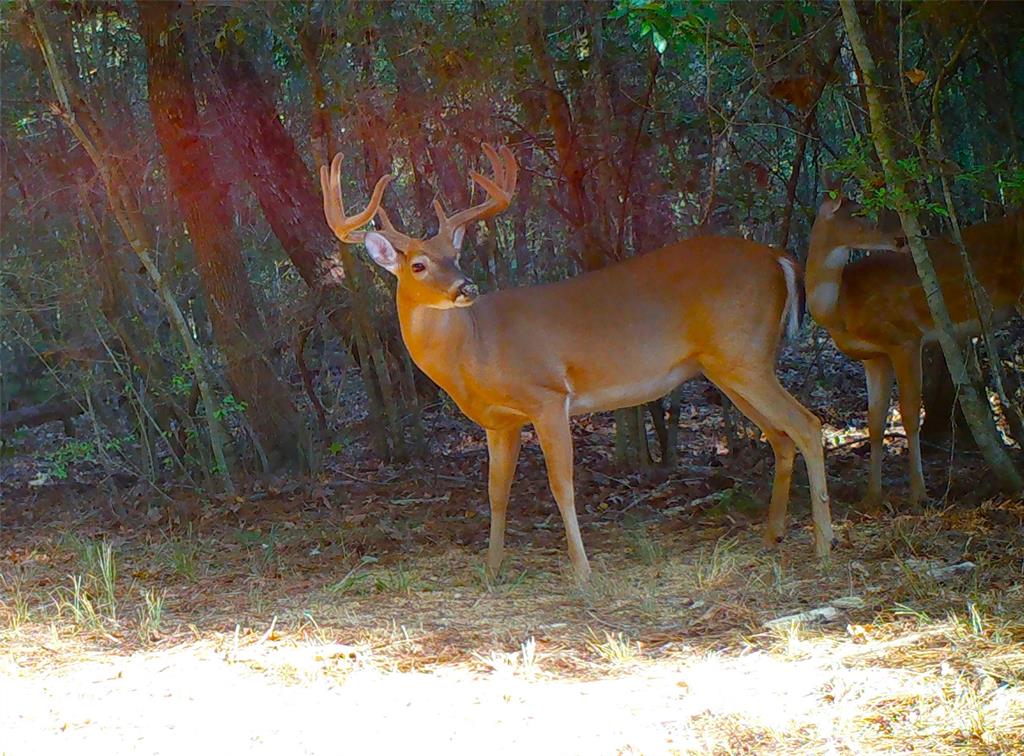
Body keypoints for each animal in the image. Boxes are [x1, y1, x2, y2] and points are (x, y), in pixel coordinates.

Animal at [323, 144, 835, 581]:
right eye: (419, 265)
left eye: (456, 254)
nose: (466, 286)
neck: (474, 348)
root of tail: (778, 258)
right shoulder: (498, 422)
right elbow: (496, 493)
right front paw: (491, 569)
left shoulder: (548, 396)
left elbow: (561, 484)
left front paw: (582, 571)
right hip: (727, 366)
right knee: (780, 436)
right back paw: (773, 535)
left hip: (744, 356)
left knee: (808, 425)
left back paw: (824, 544)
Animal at [811, 188, 1019, 510]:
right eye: (859, 213)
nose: (901, 238)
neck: (840, 307)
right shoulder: (874, 357)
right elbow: (875, 422)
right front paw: (871, 497)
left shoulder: (906, 338)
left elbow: (910, 415)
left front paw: (918, 495)